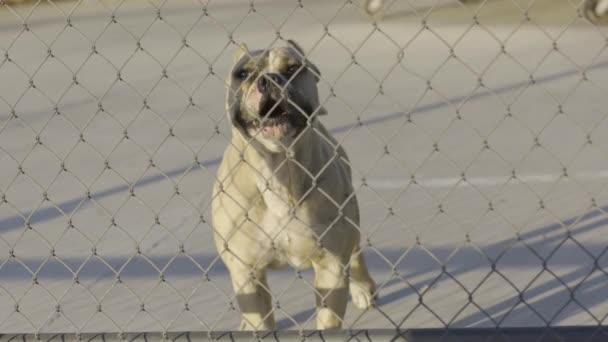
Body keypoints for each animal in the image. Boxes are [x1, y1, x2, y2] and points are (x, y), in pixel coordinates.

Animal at [213, 40, 376, 332]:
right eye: (242, 74)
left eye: (292, 68)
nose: (268, 79)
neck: (279, 168)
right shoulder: (247, 273)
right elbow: (259, 321)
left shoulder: (332, 265)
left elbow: (328, 321)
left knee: (356, 251)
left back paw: (362, 288)